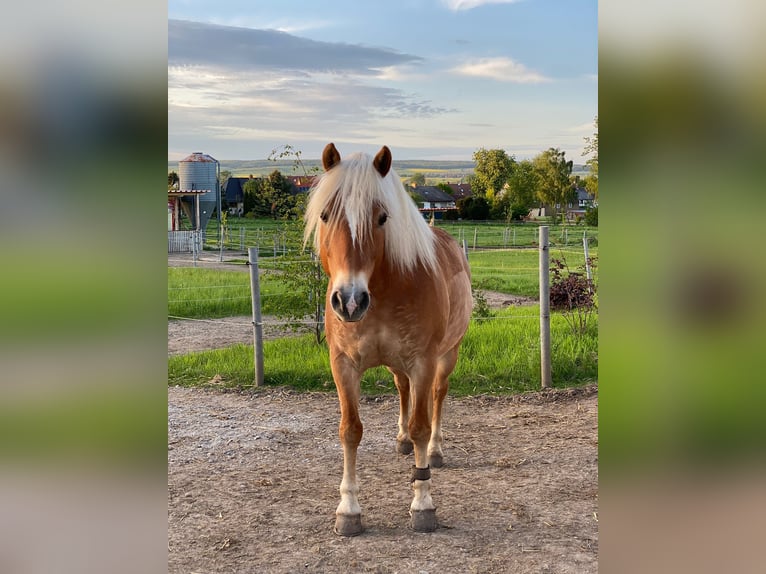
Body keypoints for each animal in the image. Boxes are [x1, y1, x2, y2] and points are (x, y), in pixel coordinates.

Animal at [306, 143, 474, 536]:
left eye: (382, 218)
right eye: (325, 215)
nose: (350, 301)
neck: (384, 289)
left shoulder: (423, 361)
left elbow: (421, 425)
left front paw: (423, 504)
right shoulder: (343, 365)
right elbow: (350, 431)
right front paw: (349, 510)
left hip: (447, 356)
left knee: (437, 397)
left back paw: (435, 451)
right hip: (398, 365)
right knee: (403, 390)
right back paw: (401, 441)